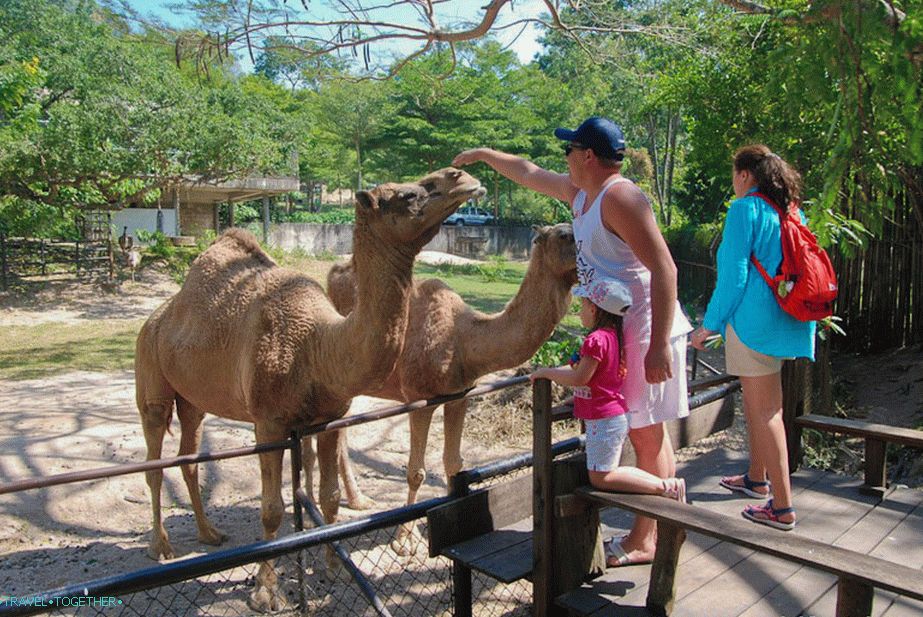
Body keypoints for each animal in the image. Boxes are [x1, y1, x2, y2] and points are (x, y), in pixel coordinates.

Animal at [135, 166, 490, 608]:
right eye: (407, 194)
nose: (462, 176)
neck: (318, 343)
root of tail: (157, 316)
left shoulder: (328, 418)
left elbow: (329, 497)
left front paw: (333, 567)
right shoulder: (268, 422)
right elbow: (271, 509)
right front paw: (265, 593)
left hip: (191, 397)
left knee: (188, 453)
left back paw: (209, 533)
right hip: (150, 371)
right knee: (152, 457)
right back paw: (162, 547)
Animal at [324, 221, 572, 548]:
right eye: (565, 236)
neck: (462, 340)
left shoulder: (459, 395)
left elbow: (454, 463)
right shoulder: (418, 398)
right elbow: (415, 471)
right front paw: (404, 541)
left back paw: (359, 501)